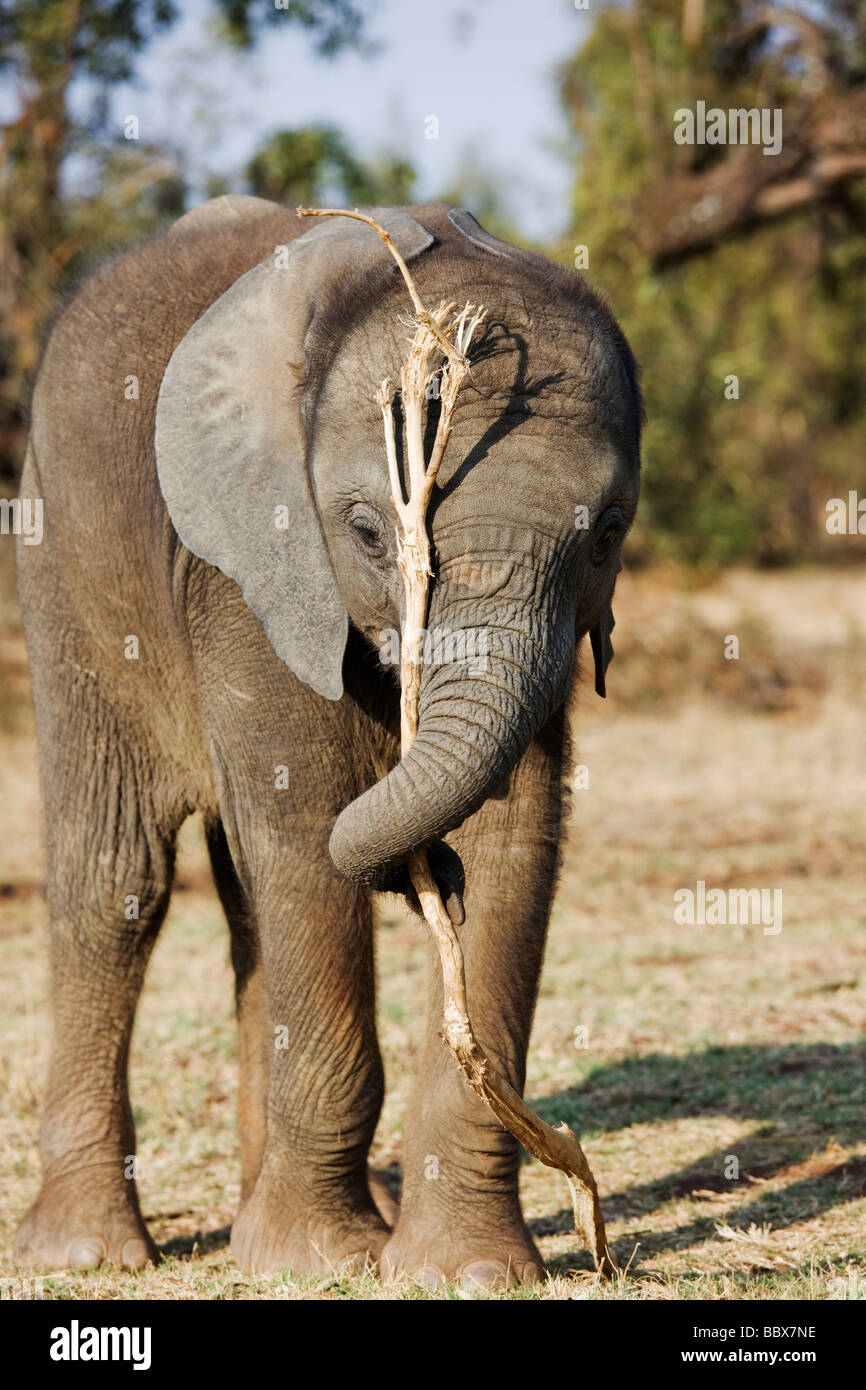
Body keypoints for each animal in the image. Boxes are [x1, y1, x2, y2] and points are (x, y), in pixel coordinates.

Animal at [10, 198, 639, 1289]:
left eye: (603, 534)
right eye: (366, 532)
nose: (424, 874)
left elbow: (515, 841)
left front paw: (462, 1274)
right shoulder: (244, 565)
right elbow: (303, 825)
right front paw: (326, 1261)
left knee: (244, 908)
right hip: (58, 552)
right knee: (120, 881)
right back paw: (92, 1253)